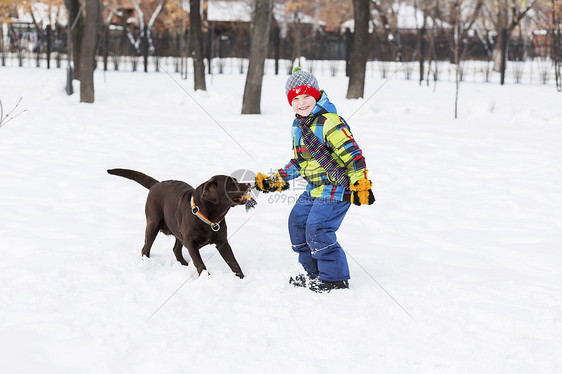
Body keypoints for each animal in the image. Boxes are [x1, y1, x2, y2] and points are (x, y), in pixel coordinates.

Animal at [108, 169, 248, 278]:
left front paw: (242, 278)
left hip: (177, 230)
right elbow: (200, 264)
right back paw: (146, 262)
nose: (247, 184)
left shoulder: (222, 242)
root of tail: (156, 184)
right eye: (230, 183)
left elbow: (234, 263)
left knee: (175, 249)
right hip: (153, 224)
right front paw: (208, 278)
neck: (210, 218)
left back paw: (183, 264)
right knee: (145, 248)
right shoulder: (191, 244)